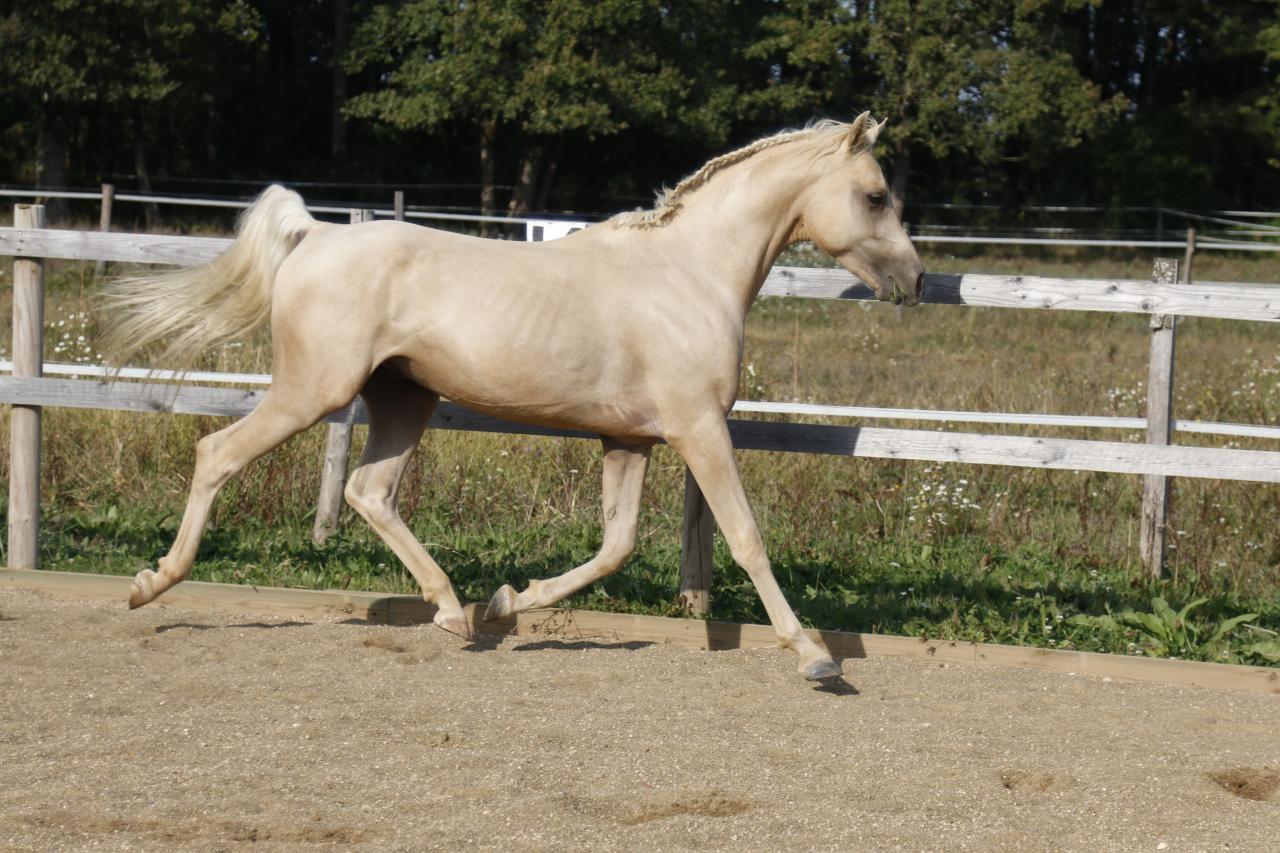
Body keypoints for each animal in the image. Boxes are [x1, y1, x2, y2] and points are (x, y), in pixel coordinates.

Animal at [99, 111, 921, 676]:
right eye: (876, 195)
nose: (913, 281)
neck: (689, 273)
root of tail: (317, 234)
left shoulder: (629, 439)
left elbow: (615, 546)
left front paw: (506, 601)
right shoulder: (698, 429)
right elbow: (746, 537)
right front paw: (814, 654)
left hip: (403, 400)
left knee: (370, 491)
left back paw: (454, 612)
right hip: (315, 390)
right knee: (219, 453)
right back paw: (149, 586)